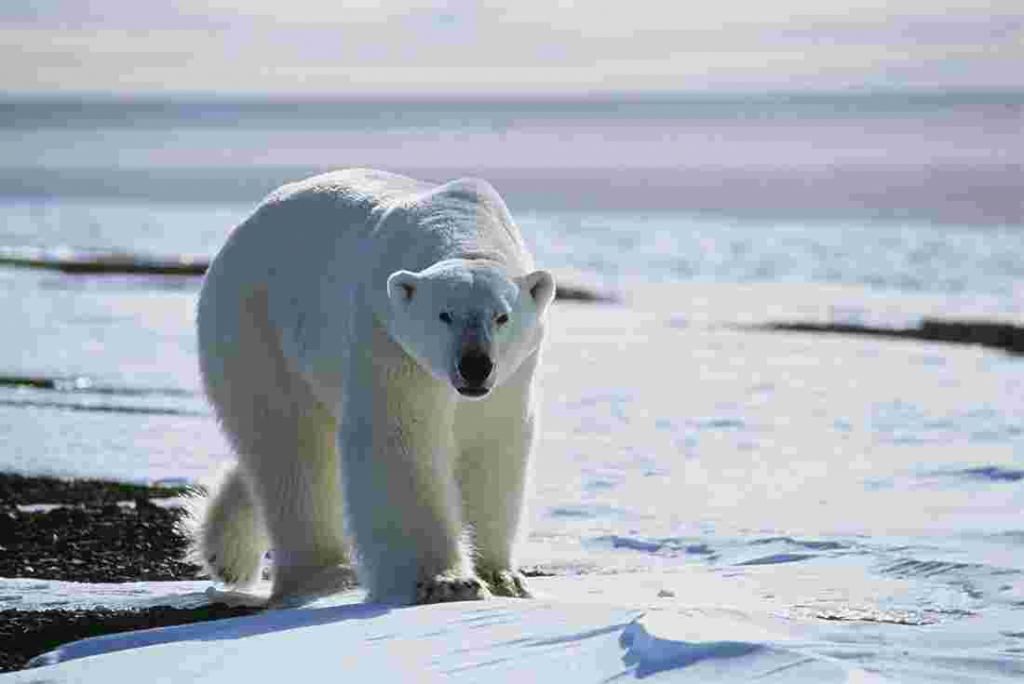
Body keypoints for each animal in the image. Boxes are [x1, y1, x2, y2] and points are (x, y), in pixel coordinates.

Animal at [191, 167, 552, 606]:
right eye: (444, 314)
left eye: (502, 317)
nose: (474, 366)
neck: (463, 227)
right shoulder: (387, 337)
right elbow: (398, 440)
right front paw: (445, 582)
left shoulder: (511, 377)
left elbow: (493, 444)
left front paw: (501, 577)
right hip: (256, 324)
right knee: (290, 446)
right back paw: (325, 573)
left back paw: (225, 551)